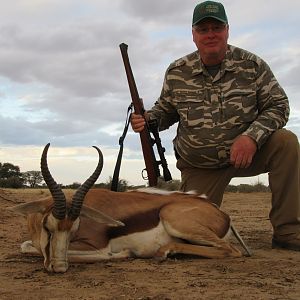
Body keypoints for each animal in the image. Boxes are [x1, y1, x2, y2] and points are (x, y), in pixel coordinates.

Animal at [9, 143, 250, 272]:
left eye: (74, 226)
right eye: (48, 227)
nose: (58, 267)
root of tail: (221, 213)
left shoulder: (97, 246)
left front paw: (123, 254)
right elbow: (27, 246)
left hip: (175, 219)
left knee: (231, 250)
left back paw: (163, 252)